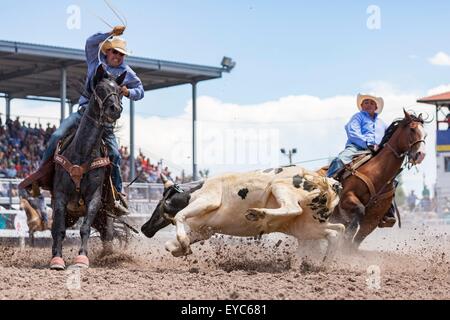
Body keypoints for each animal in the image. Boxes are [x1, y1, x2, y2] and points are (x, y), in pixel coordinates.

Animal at [50, 65, 125, 270]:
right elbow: (59, 230)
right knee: (55, 228)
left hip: (103, 216)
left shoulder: (94, 198)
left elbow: (85, 228)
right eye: (99, 89)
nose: (115, 109)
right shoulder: (60, 196)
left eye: (120, 92)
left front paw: (82, 258)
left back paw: (108, 256)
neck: (82, 151)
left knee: (108, 235)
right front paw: (57, 259)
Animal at [324, 110, 426, 250]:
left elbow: (354, 243)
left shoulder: (373, 219)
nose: (421, 155)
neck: (377, 173)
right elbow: (360, 211)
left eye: (425, 133)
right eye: (412, 129)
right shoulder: (346, 197)